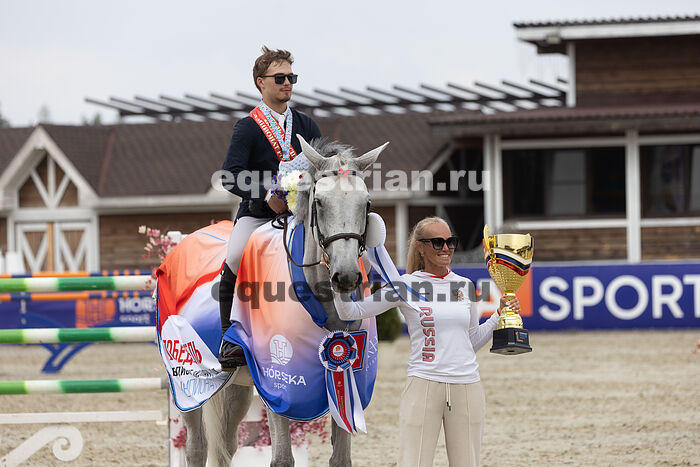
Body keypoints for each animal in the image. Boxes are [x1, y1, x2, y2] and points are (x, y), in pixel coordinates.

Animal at [165, 136, 388, 467]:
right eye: (319, 203)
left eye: (366, 203)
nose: (346, 276)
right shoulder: (278, 384)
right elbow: (282, 457)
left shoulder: (347, 377)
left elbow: (341, 458)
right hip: (187, 384)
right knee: (196, 448)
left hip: (236, 387)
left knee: (226, 446)